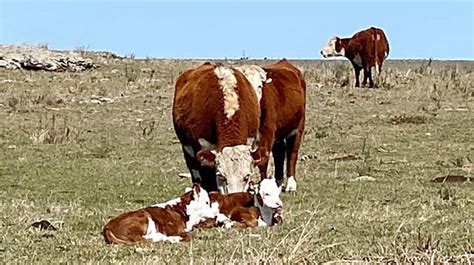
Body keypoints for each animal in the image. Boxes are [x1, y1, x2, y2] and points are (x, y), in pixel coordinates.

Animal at [237, 59, 308, 192]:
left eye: (259, 86)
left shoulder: (267, 133)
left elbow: (262, 159)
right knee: (279, 153)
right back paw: (278, 182)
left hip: (298, 127)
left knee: (292, 153)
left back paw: (291, 184)